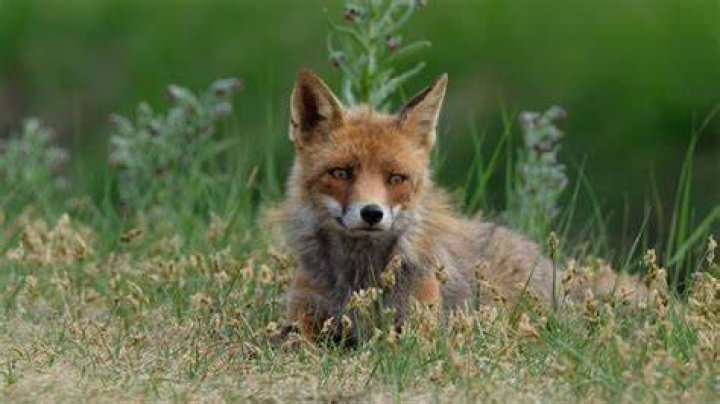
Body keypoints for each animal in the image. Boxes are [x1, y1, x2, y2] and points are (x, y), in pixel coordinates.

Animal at [272, 70, 647, 344]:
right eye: (341, 173)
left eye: (396, 178)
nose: (372, 213)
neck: (357, 278)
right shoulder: (302, 316)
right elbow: (292, 341)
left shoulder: (418, 330)